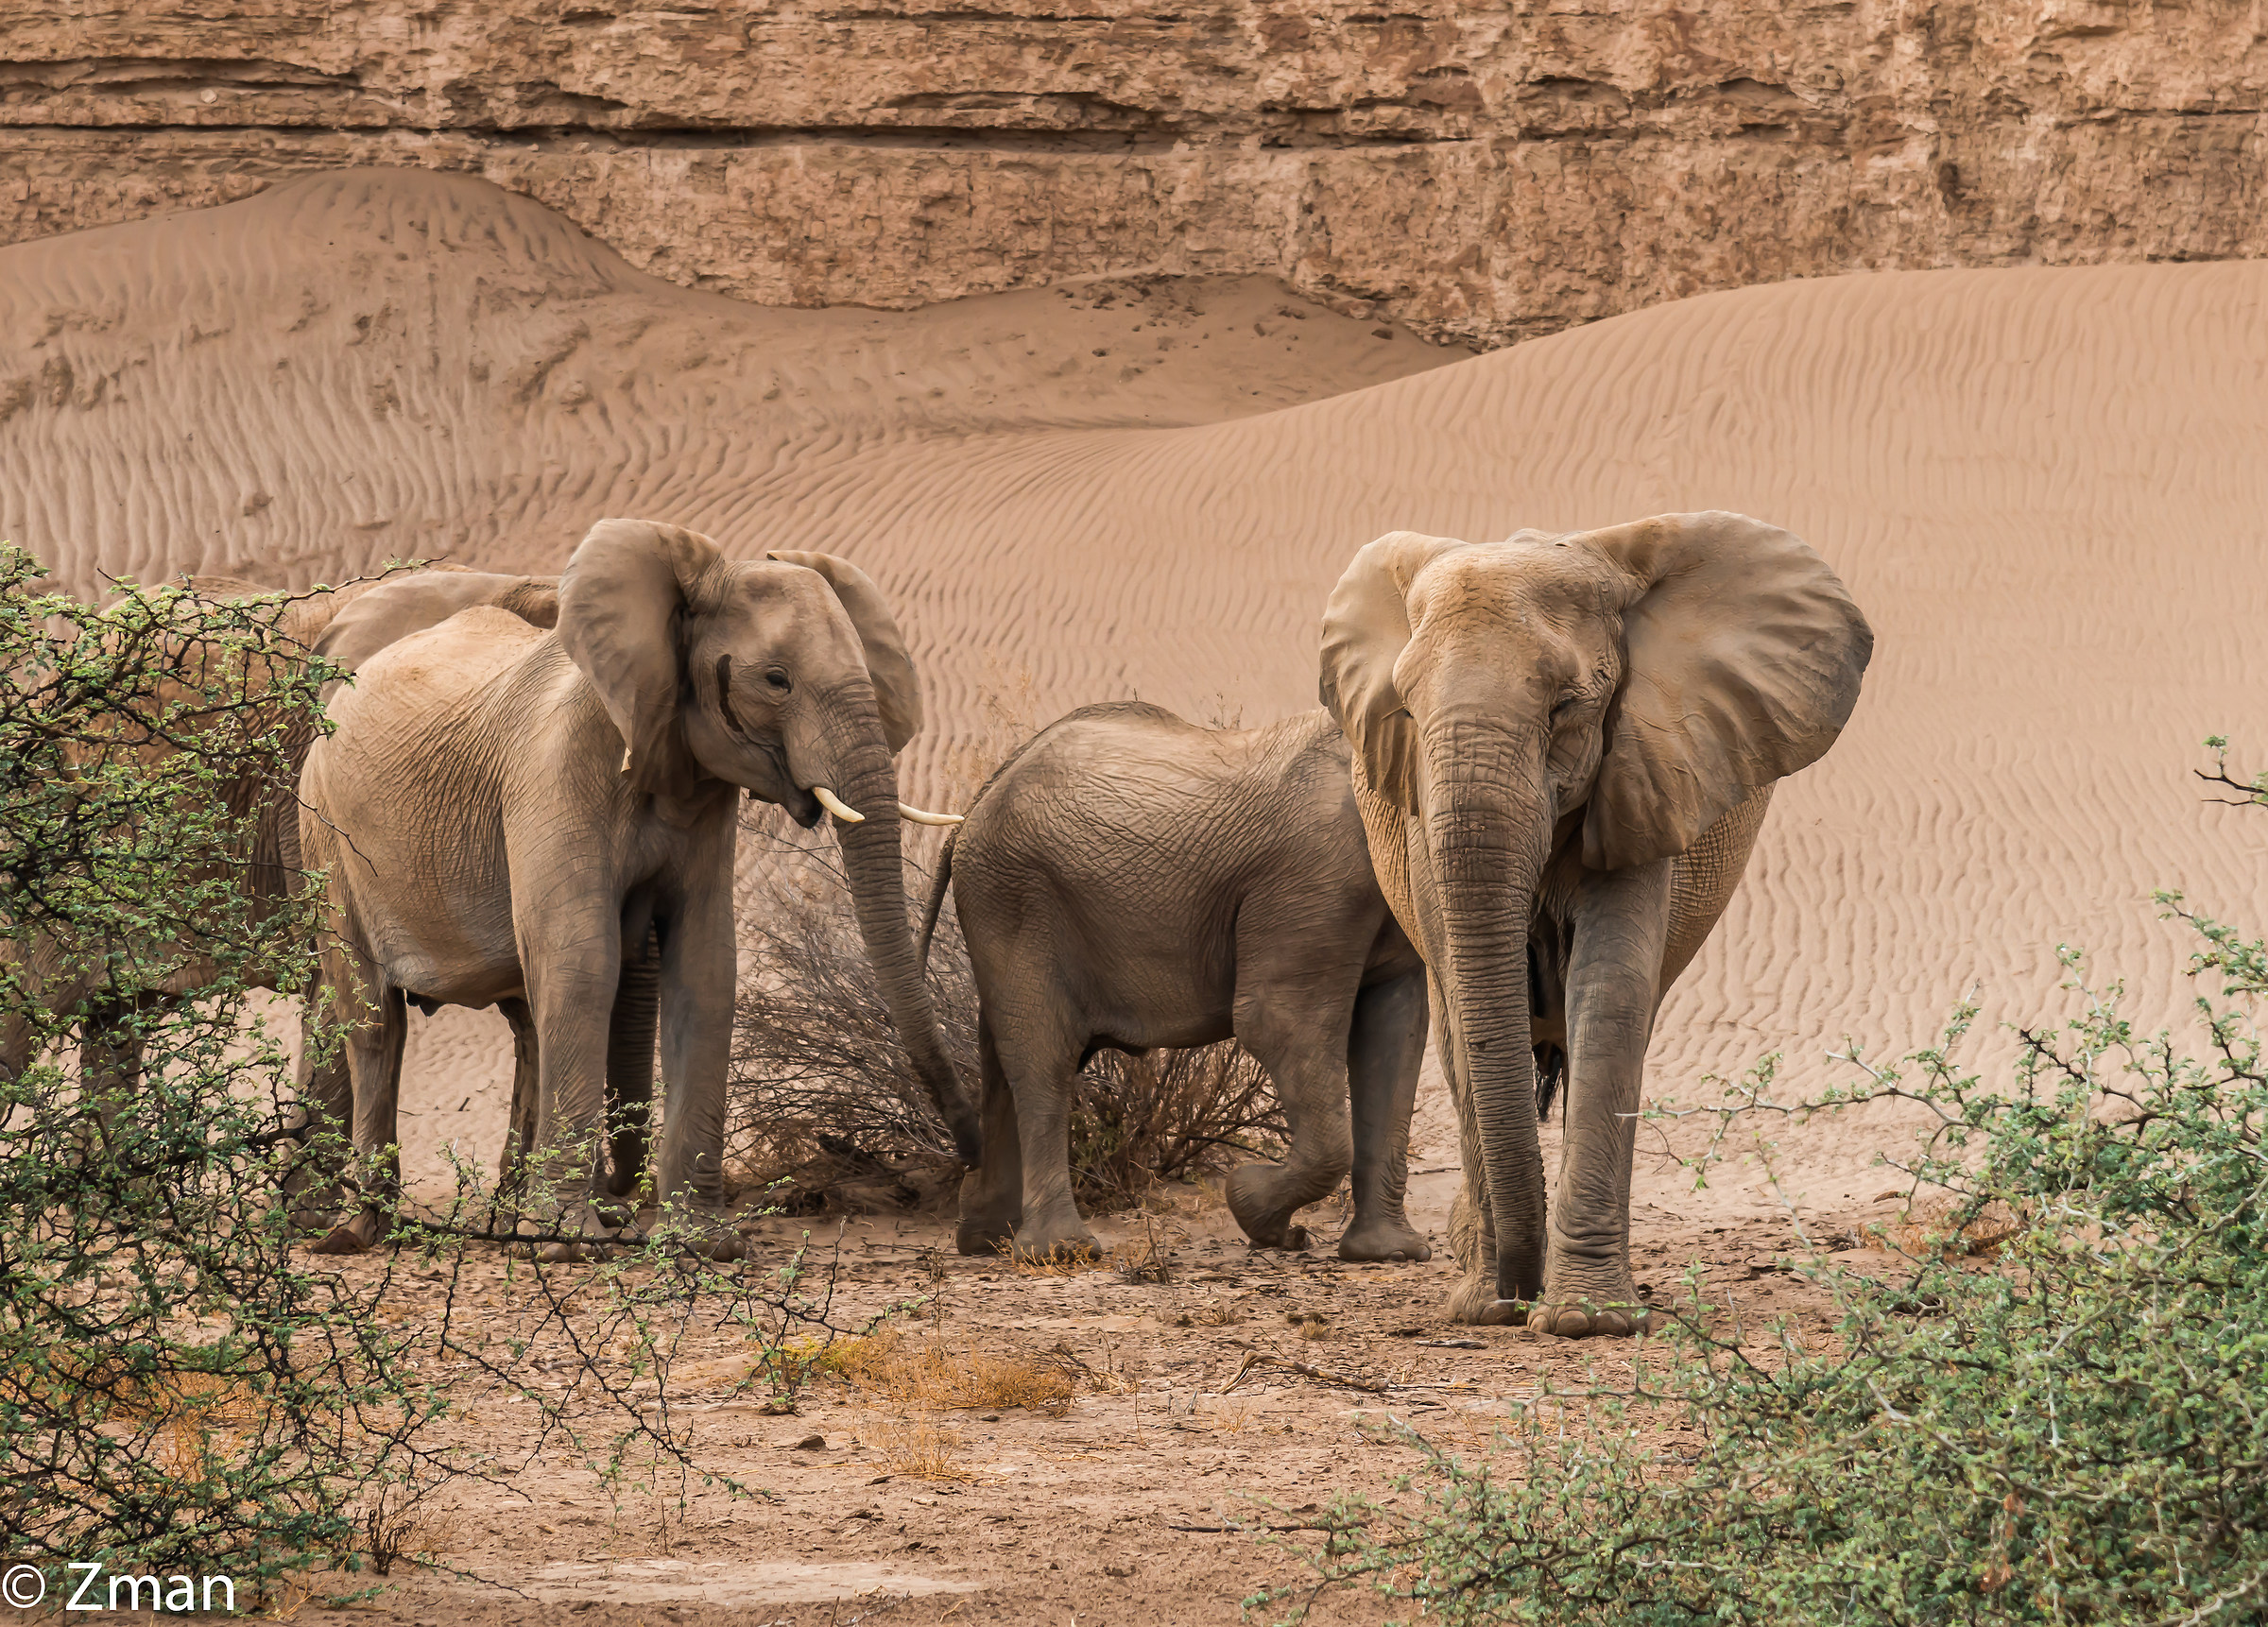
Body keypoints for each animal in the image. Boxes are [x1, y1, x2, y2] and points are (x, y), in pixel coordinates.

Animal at [299, 517, 977, 1259]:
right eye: (777, 680)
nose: (970, 1152)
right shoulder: (553, 774)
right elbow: (583, 965)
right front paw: (571, 1242)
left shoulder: (703, 796)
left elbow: (705, 967)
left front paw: (704, 1245)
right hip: (325, 830)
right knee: (373, 1019)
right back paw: (359, 1230)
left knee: (522, 1022)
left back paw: (504, 1225)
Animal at [917, 701, 1432, 1264]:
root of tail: (975, 805)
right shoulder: (1316, 871)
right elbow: (1275, 1021)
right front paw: (1258, 1213)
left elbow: (1394, 1033)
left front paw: (1389, 1254)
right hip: (1013, 896)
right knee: (1043, 1054)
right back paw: (1060, 1251)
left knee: (1000, 1053)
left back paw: (988, 1239)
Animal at [1318, 511, 1872, 1336]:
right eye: (1406, 712)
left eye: (1567, 708)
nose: (1515, 1296)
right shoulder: (1418, 815)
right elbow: (1458, 1013)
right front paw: (1486, 1307)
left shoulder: (1648, 772)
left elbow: (1609, 995)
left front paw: (1587, 1322)